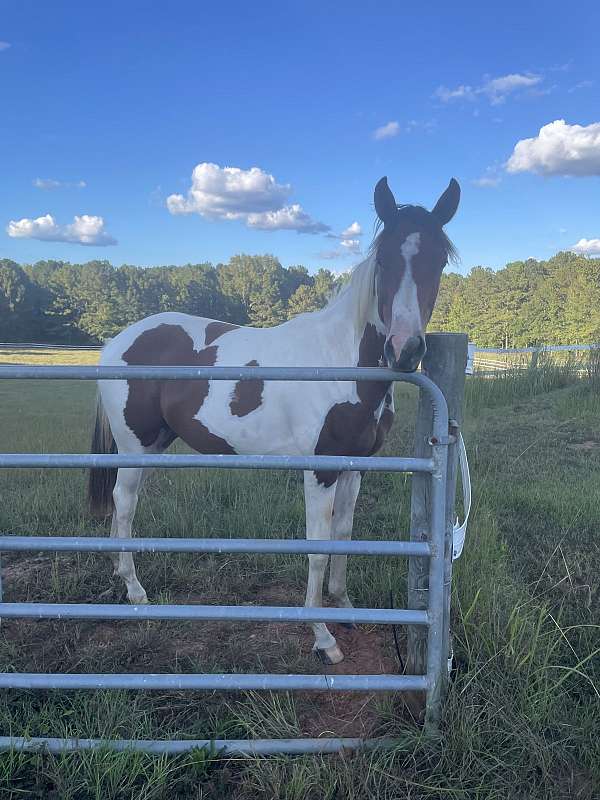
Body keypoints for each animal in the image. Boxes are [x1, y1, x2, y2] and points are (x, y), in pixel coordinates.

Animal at [88, 176, 460, 665]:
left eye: (440, 260)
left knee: (119, 505)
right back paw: (136, 591)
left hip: (152, 445)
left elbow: (344, 536)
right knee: (125, 502)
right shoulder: (319, 470)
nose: (404, 350)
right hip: (136, 446)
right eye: (384, 259)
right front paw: (323, 638)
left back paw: (118, 573)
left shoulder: (356, 466)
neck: (340, 364)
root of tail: (118, 342)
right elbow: (318, 550)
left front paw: (345, 609)